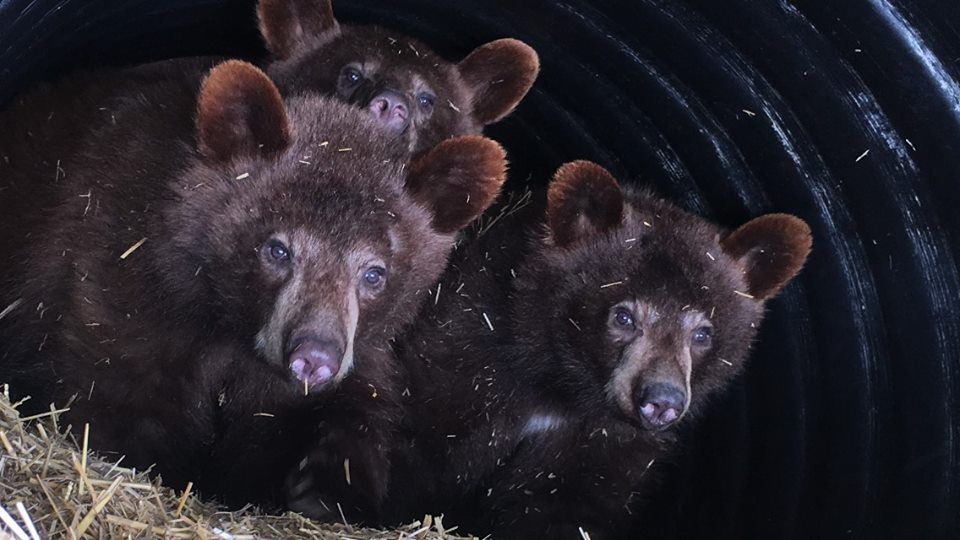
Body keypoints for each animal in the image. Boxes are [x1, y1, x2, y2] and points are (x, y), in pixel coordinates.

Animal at [0, 59, 507, 517]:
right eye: (277, 249)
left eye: (374, 272)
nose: (315, 356)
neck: (229, 325)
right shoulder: (121, 289)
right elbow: (119, 405)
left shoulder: (358, 355)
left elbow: (350, 412)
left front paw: (322, 482)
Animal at [386, 161, 812, 538]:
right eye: (623, 316)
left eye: (702, 333)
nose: (662, 400)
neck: (560, 384)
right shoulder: (465, 354)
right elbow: (420, 442)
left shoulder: (604, 439)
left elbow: (565, 504)